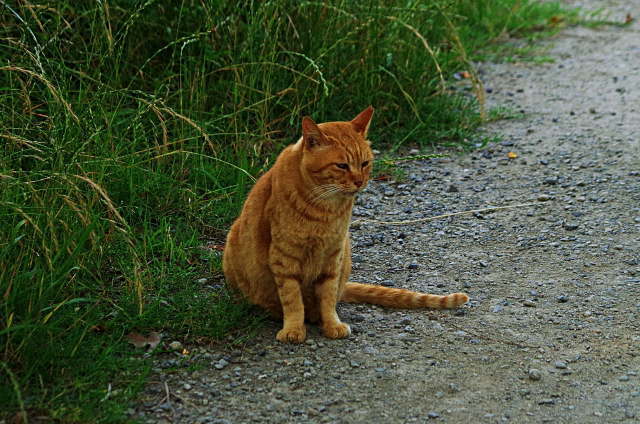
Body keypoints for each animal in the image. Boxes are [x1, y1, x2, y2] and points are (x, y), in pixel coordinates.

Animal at [222, 107, 468, 342]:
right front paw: (293, 329)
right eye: (342, 165)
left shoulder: (333, 254)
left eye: (365, 163)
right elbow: (292, 300)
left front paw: (332, 325)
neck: (324, 208)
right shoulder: (284, 258)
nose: (360, 181)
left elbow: (328, 297)